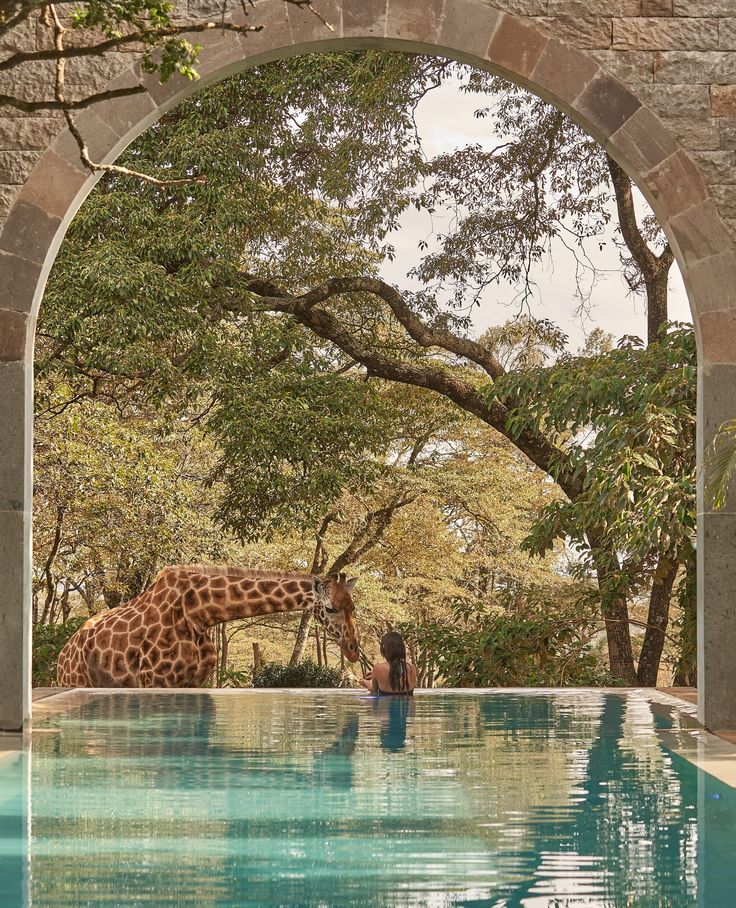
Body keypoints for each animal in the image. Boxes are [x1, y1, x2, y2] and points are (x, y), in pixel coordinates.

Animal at [56, 568, 360, 688]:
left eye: (353, 606)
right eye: (330, 608)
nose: (353, 650)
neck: (200, 614)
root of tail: (63, 652)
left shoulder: (194, 682)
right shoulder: (155, 681)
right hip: (74, 680)